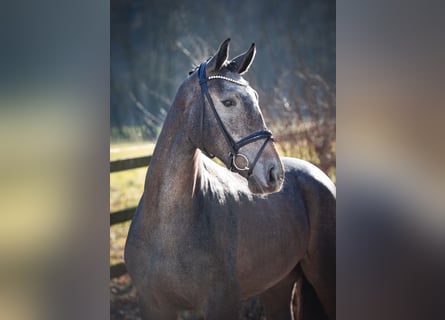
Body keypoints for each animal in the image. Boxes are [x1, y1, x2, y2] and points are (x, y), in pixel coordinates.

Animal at [123, 38, 334, 318]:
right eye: (228, 102)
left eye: (255, 99)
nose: (274, 173)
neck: (166, 227)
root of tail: (319, 175)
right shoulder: (152, 306)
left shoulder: (221, 304)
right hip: (278, 285)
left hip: (324, 279)